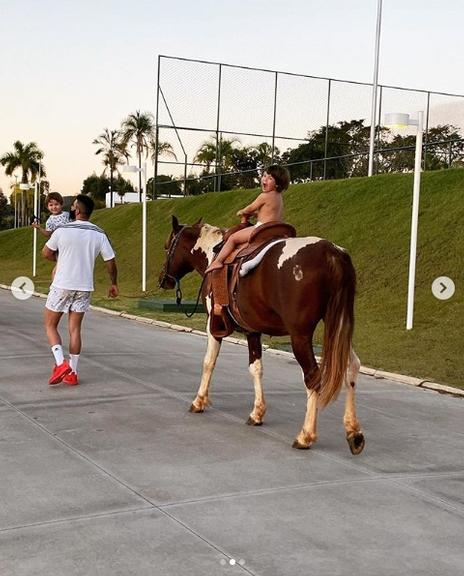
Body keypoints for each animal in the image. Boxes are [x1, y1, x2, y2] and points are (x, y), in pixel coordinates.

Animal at [160, 216, 366, 454]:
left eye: (167, 247)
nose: (163, 279)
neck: (213, 254)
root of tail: (331, 253)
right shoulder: (252, 331)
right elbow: (256, 368)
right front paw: (257, 412)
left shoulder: (213, 324)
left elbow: (208, 362)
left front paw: (199, 400)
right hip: (339, 327)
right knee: (352, 366)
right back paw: (353, 432)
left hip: (300, 336)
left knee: (313, 377)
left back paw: (305, 435)